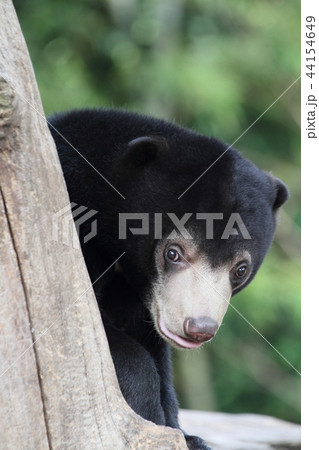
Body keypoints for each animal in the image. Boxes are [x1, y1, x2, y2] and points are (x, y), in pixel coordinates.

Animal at [48, 110, 290, 450]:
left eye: (240, 269)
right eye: (173, 253)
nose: (199, 328)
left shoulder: (138, 293)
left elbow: (153, 347)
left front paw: (185, 435)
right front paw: (148, 413)